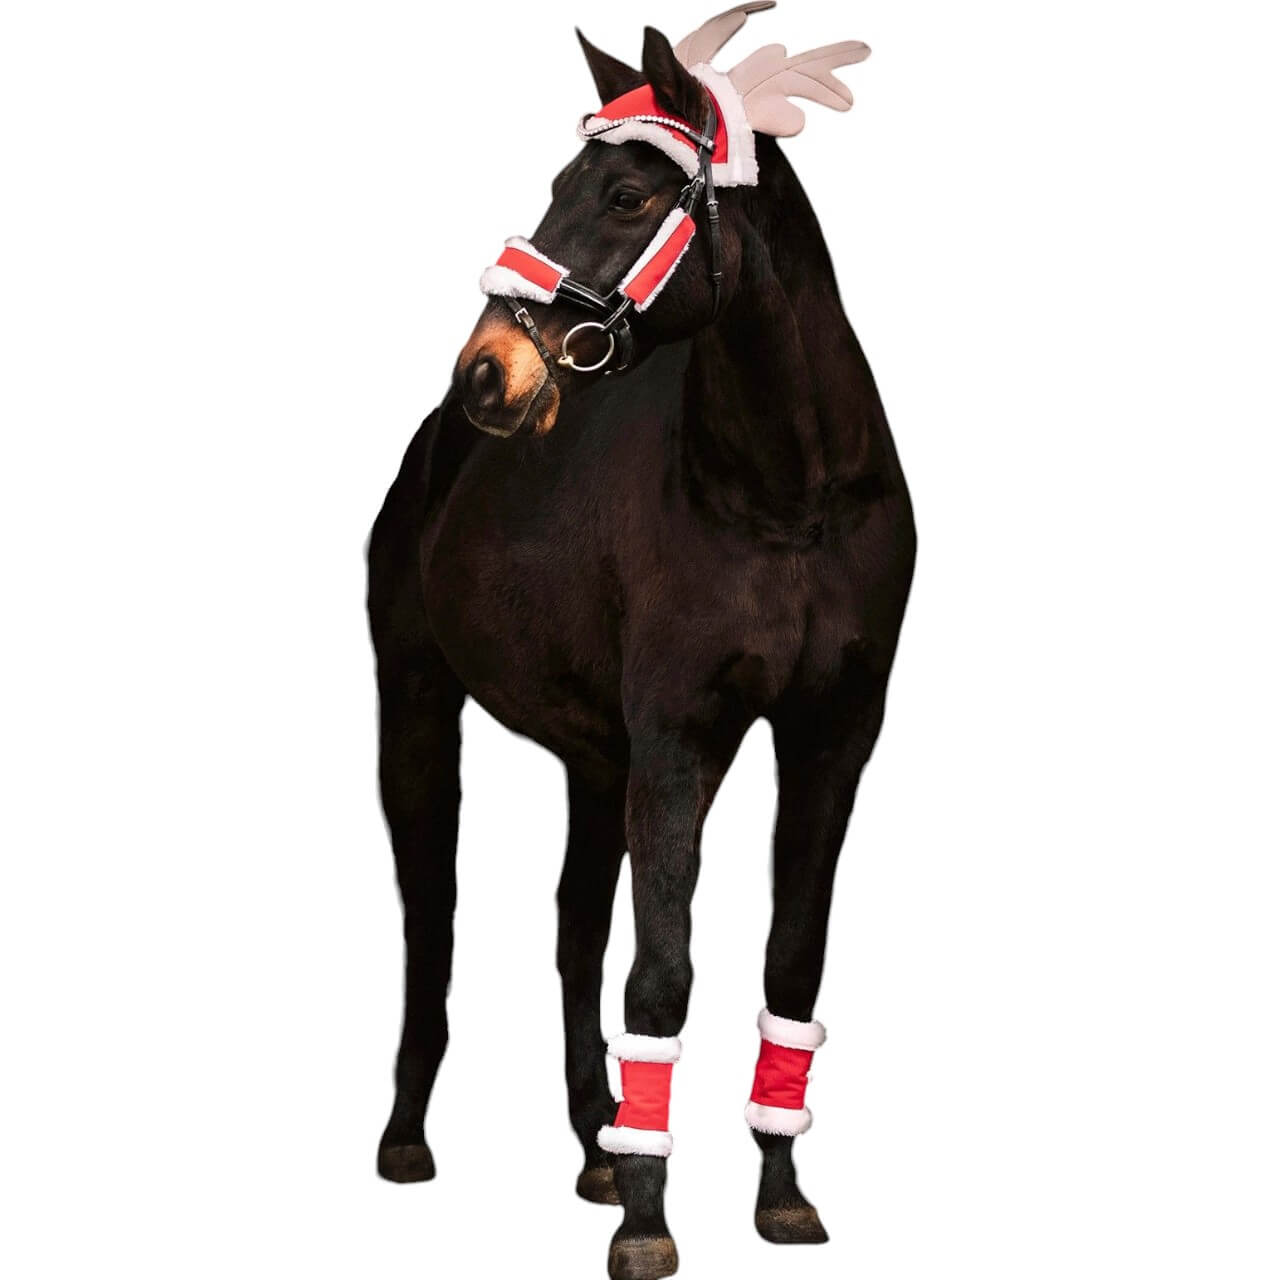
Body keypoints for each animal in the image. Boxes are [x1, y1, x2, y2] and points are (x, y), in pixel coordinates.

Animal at [366, 7, 915, 1276]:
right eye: (558, 183)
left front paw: (777, 1195)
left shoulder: (827, 737)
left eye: (623, 193)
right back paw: (411, 1138)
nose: (489, 372)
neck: (786, 498)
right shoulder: (678, 743)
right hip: (415, 705)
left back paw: (595, 1143)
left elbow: (785, 957)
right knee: (433, 915)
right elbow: (660, 973)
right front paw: (649, 1224)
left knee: (573, 928)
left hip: (590, 759)